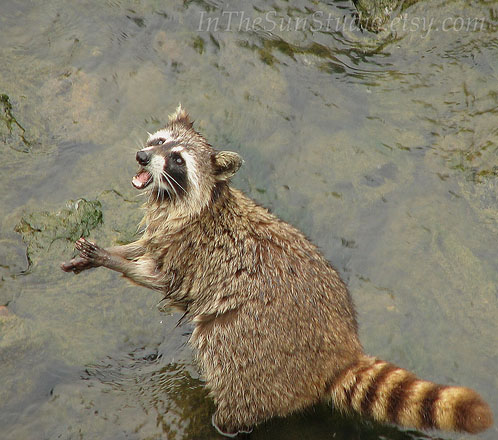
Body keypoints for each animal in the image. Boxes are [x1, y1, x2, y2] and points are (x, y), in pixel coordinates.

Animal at [60, 104, 492, 436]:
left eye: (178, 160)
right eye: (161, 141)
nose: (142, 156)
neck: (192, 202)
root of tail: (339, 349)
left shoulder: (188, 253)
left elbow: (158, 276)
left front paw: (112, 259)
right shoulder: (163, 230)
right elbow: (144, 245)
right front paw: (111, 250)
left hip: (254, 350)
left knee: (225, 358)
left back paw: (223, 423)